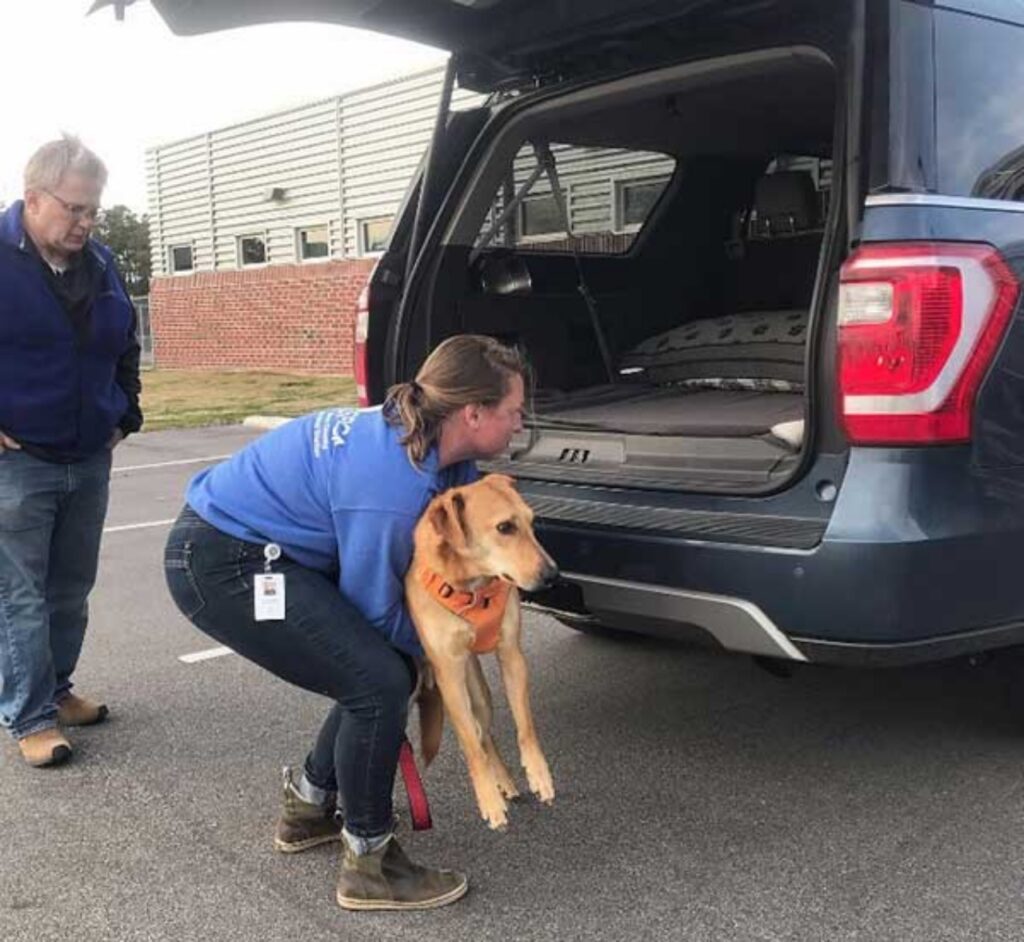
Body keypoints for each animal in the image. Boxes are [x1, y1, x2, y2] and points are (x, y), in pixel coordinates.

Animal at [403, 475, 557, 827]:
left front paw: (538, 773)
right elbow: (471, 747)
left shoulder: (512, 654)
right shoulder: (449, 675)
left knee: (486, 734)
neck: (473, 587)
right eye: (504, 527)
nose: (553, 575)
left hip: (481, 695)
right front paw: (487, 799)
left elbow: (525, 725)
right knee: (474, 736)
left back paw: (505, 781)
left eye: (531, 522)